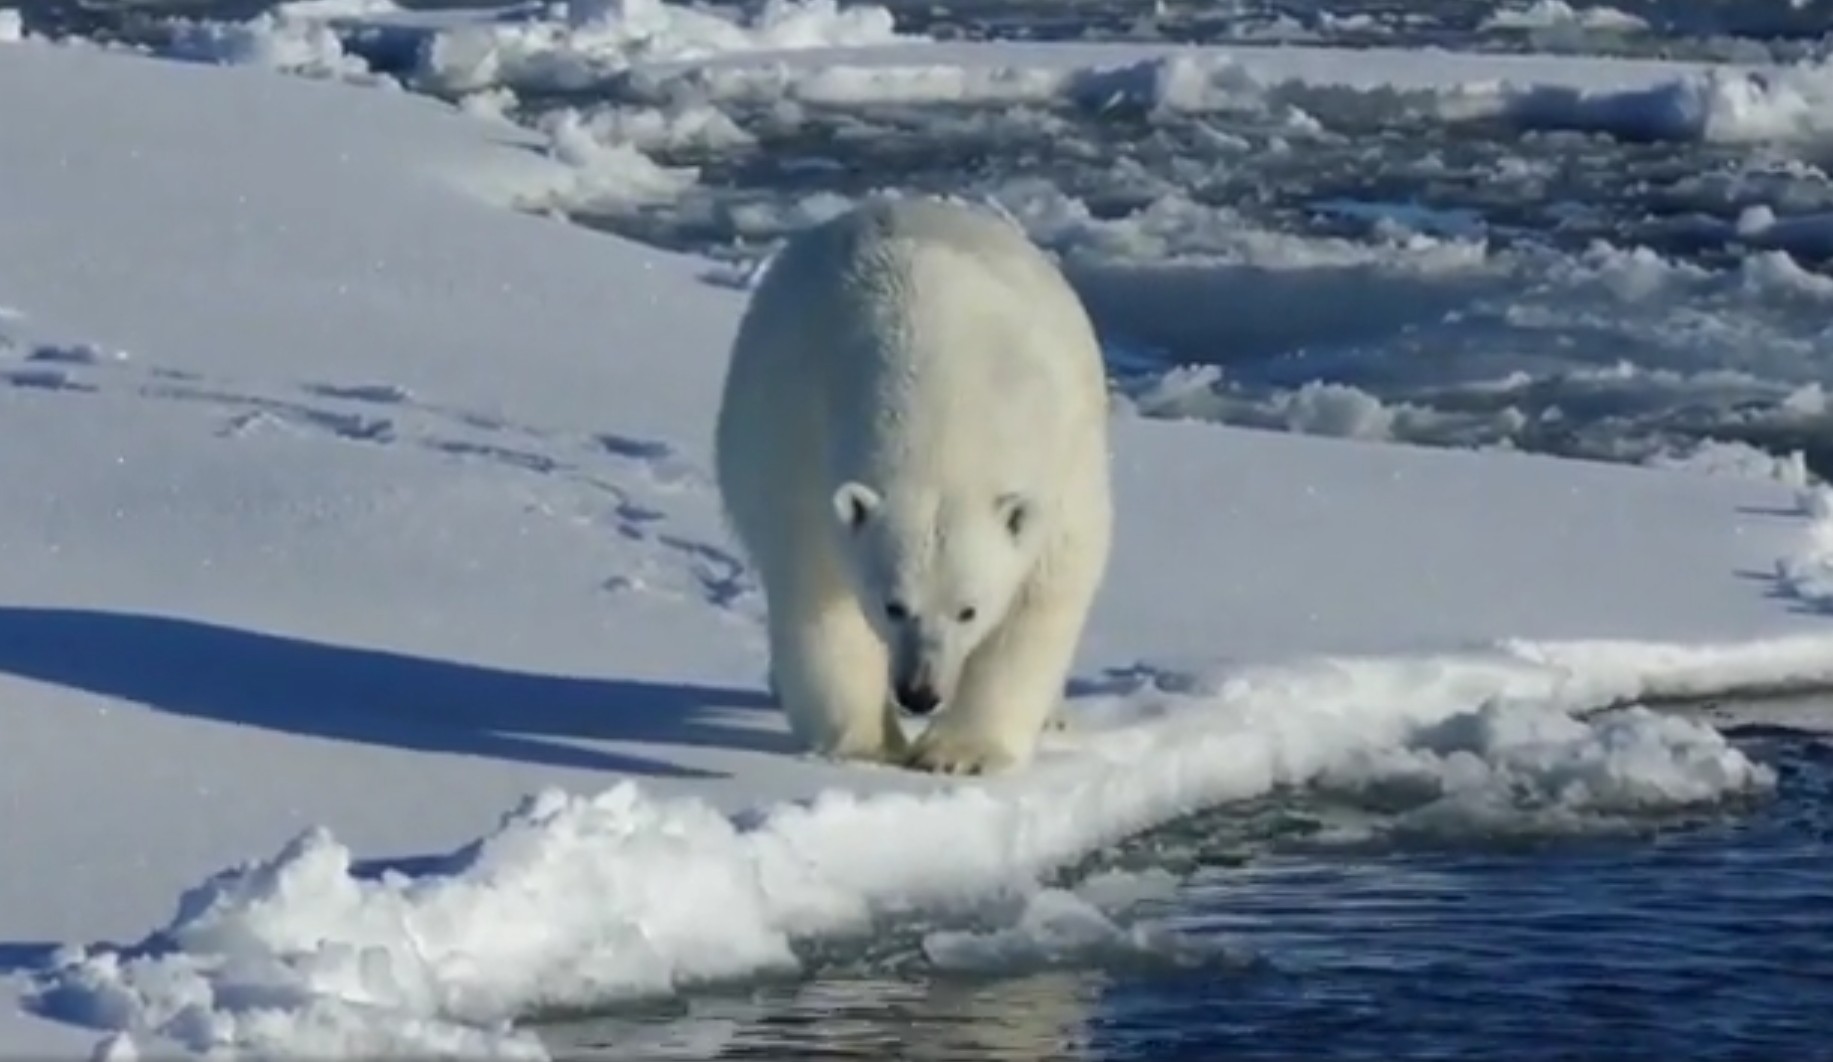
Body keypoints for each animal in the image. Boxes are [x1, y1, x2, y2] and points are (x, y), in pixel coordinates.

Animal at [712, 195, 1113, 775]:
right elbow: (819, 599)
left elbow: (1043, 594)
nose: (919, 693)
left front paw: (960, 753)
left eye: (968, 610)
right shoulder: (802, 457)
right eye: (893, 605)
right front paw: (870, 743)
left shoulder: (1061, 465)